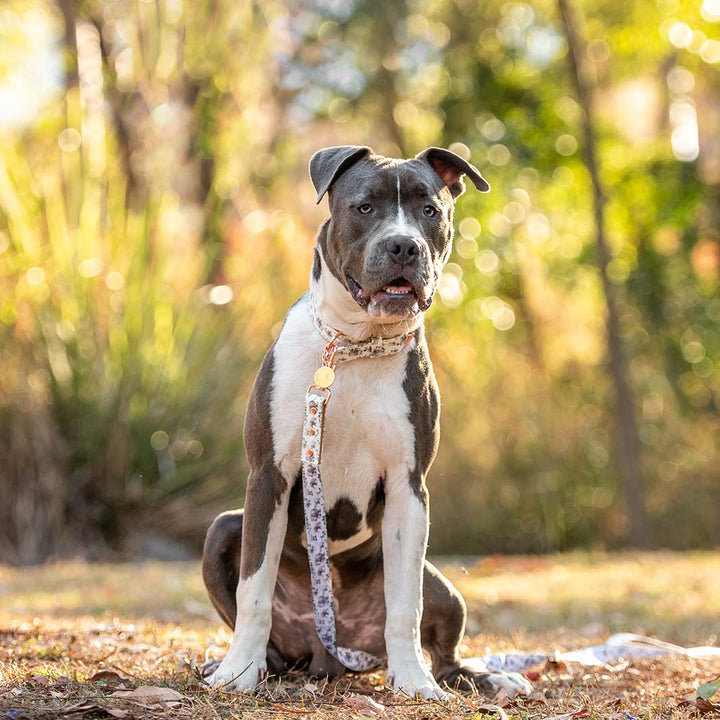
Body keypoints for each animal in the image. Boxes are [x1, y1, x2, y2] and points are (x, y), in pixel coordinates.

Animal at [200, 143, 532, 700]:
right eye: (364, 207)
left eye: (430, 210)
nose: (403, 247)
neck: (354, 346)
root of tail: (326, 654)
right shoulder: (269, 474)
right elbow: (253, 590)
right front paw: (238, 672)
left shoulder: (407, 486)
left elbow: (404, 605)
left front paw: (414, 681)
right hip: (223, 528)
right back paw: (251, 664)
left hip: (443, 587)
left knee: (444, 649)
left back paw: (485, 678)